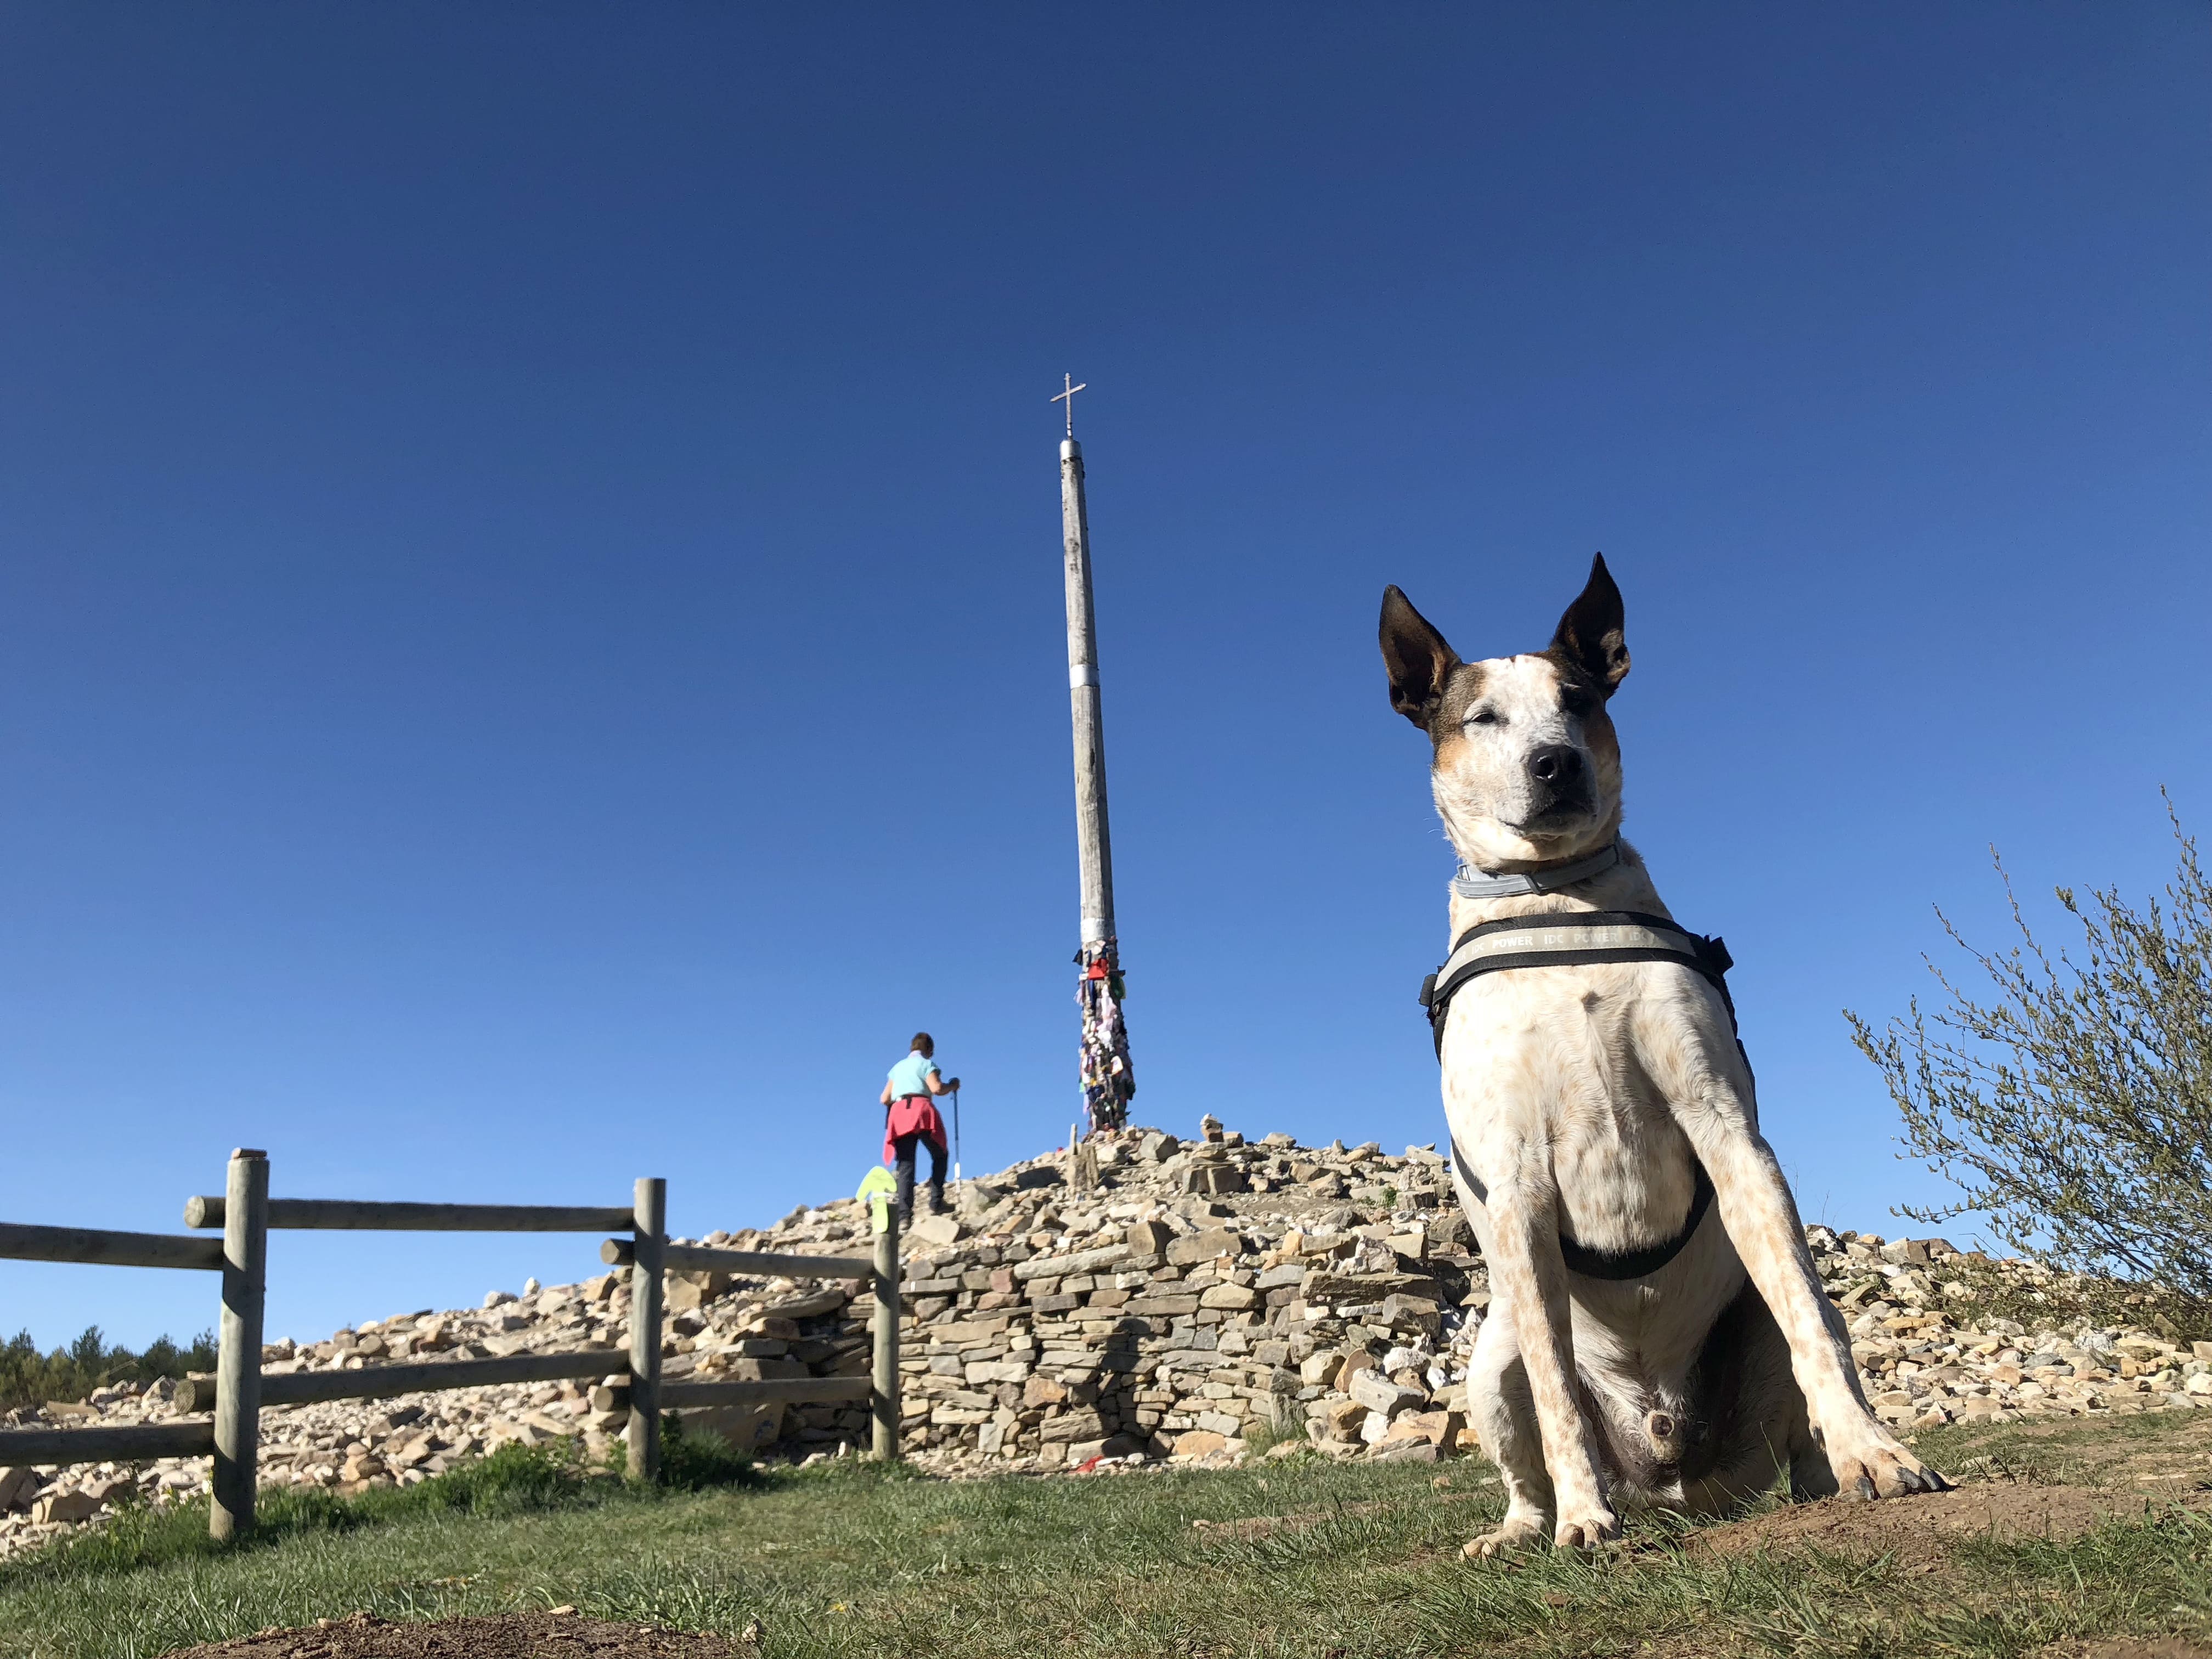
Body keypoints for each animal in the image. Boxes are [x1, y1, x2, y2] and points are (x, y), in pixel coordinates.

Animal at [1380, 560, 1955, 1557]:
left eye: (1576, 701)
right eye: (1481, 717)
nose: (1555, 762)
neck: (1559, 904)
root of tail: (1673, 1475)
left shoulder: (1725, 1127)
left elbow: (1815, 1326)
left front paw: (1876, 1452)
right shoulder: (1516, 1181)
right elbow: (1557, 1390)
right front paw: (1583, 1518)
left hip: (1751, 1329)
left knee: (1804, 1368)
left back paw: (1827, 1476)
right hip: (1490, 1362)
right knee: (1527, 1439)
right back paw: (1527, 1526)